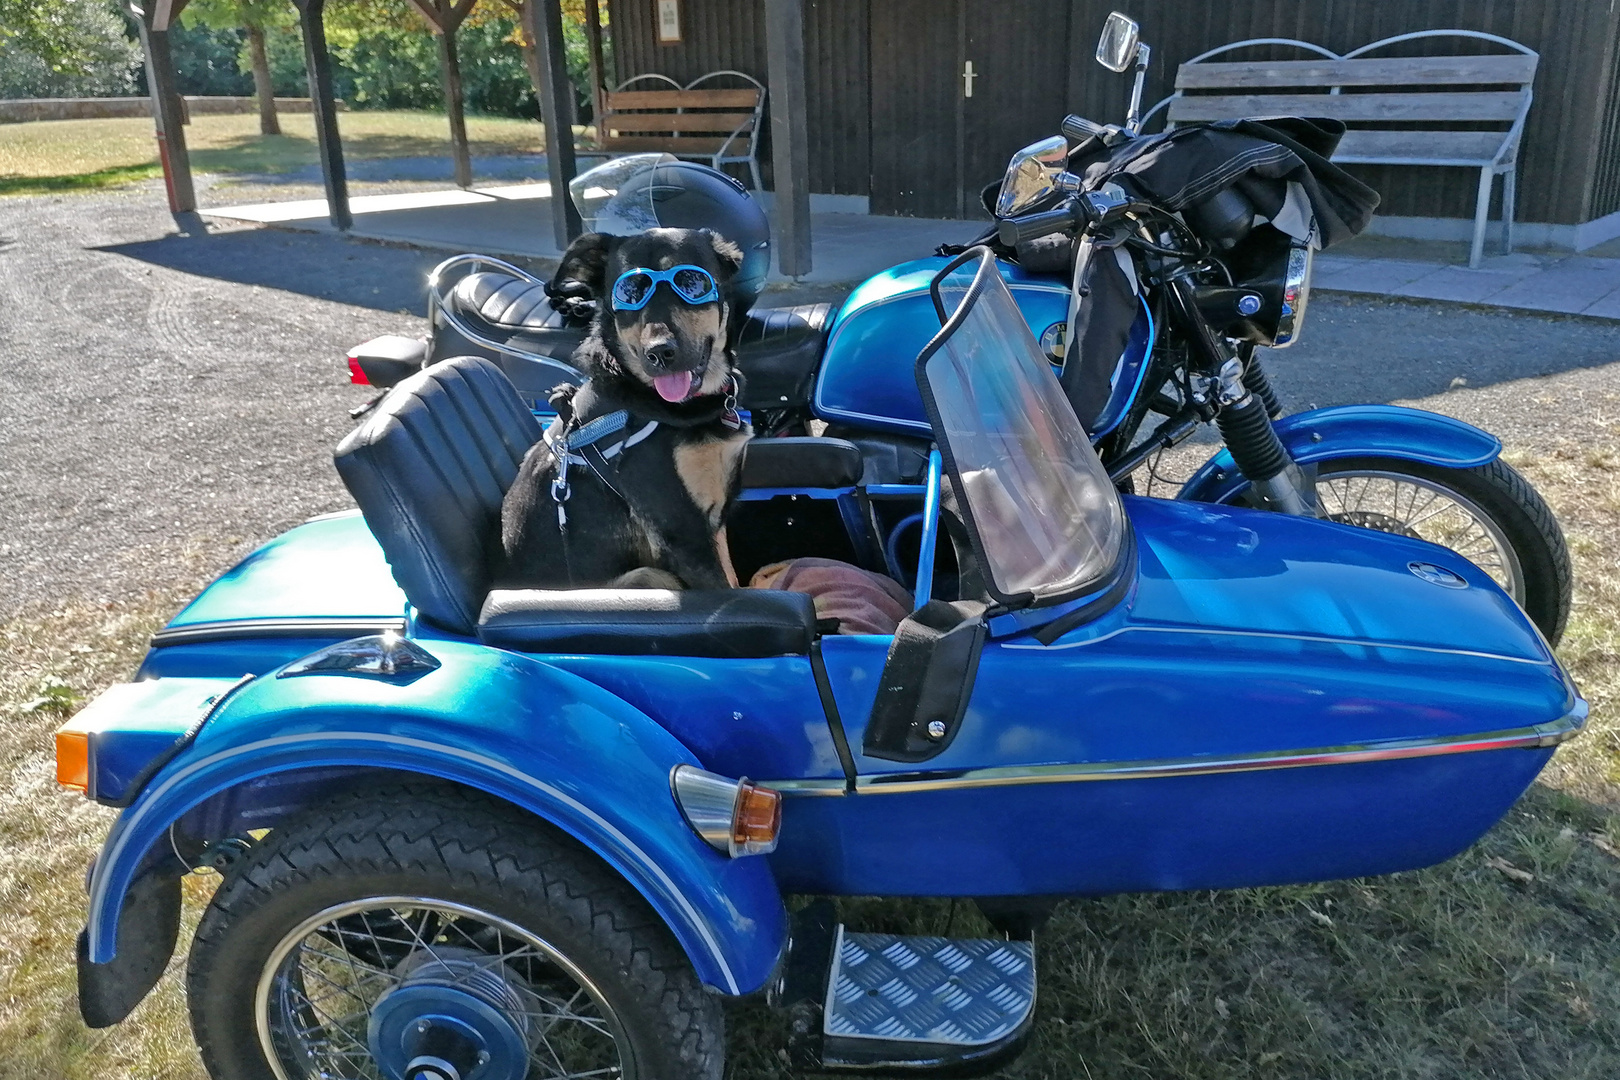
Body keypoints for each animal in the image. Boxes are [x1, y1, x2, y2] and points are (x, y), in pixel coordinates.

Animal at [498, 226, 751, 592]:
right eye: (629, 294)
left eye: (692, 283)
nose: (659, 353)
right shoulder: (683, 534)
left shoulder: (715, 526)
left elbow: (737, 579)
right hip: (646, 575)